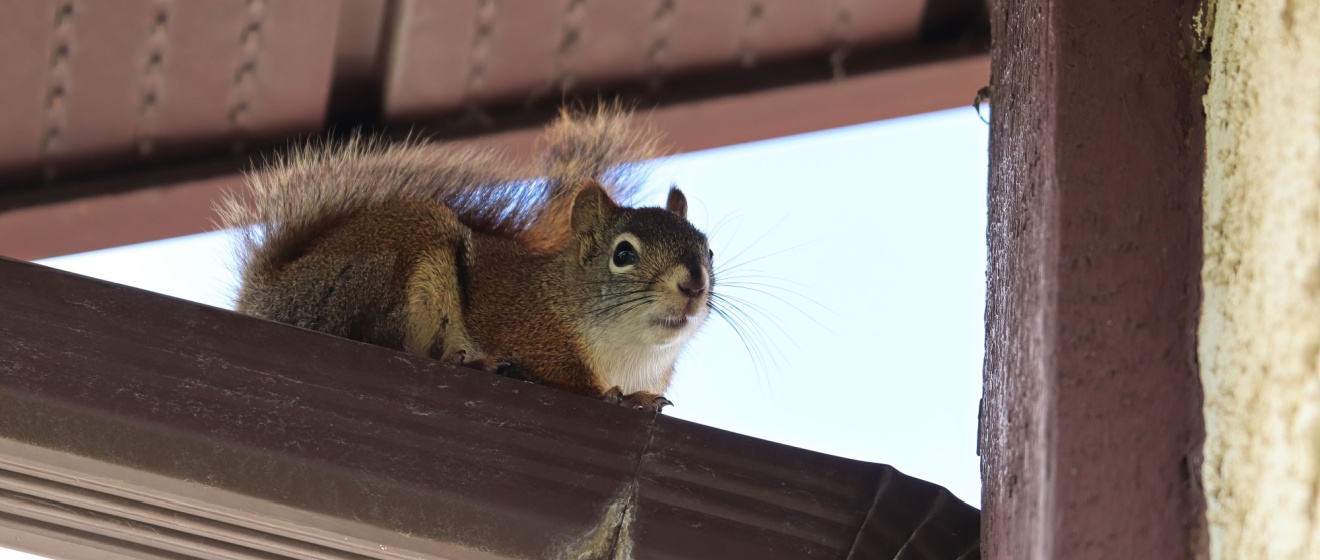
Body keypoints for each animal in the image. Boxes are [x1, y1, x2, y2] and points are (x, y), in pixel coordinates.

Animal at [219, 108, 713, 411]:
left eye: (708, 249)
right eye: (623, 253)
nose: (693, 283)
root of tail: (271, 296)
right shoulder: (535, 335)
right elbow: (567, 379)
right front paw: (622, 398)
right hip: (389, 269)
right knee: (384, 338)